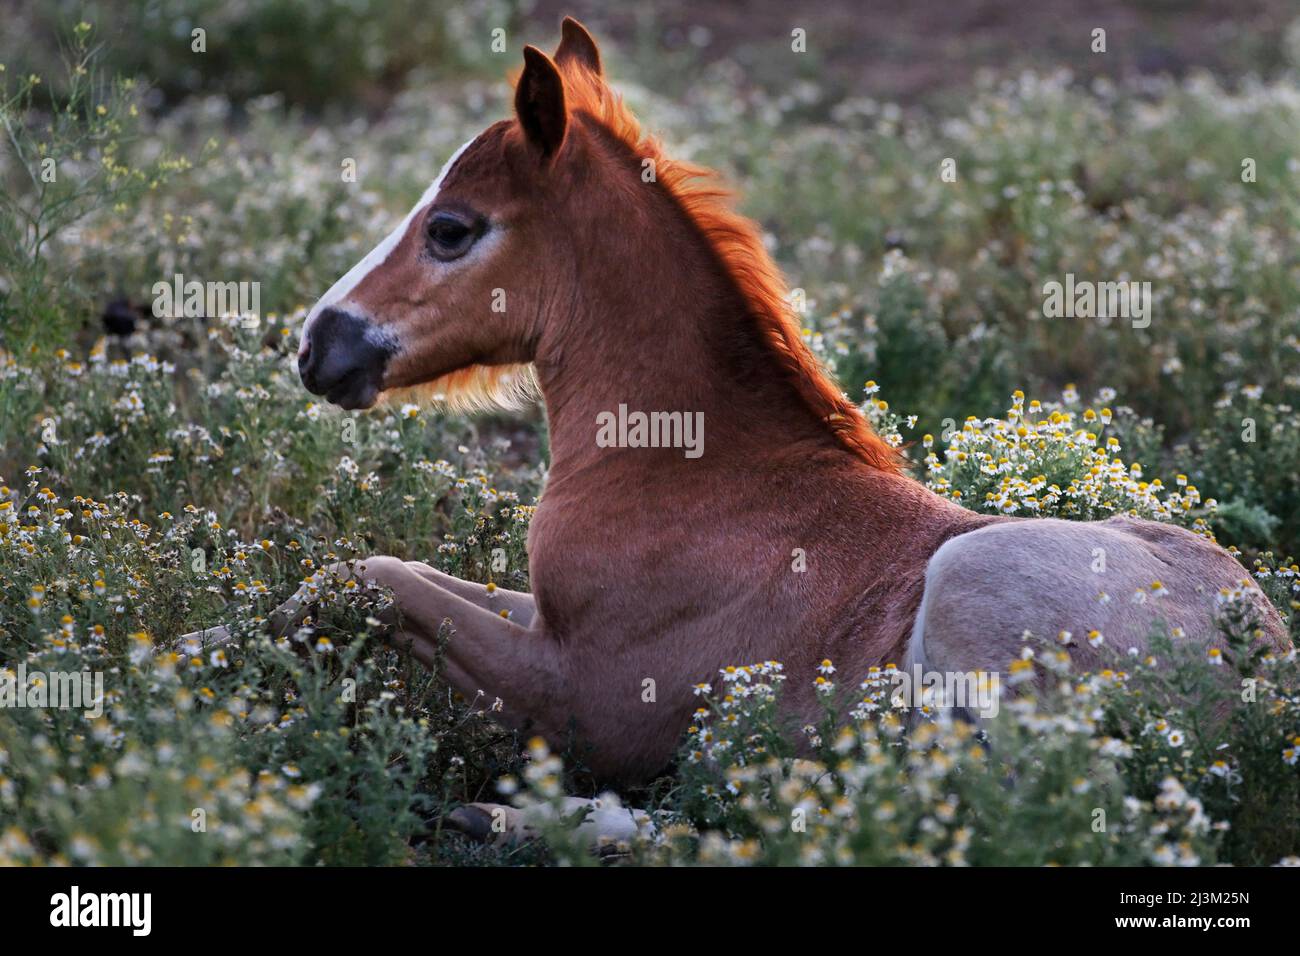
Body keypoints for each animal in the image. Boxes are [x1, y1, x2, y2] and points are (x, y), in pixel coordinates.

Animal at [211, 20, 1288, 799]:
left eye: (449, 228)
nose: (317, 343)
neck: (688, 468)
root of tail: (1262, 668)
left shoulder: (589, 699)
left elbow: (377, 574)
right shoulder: (545, 620)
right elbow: (358, 578)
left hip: (973, 578)